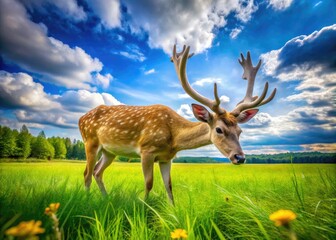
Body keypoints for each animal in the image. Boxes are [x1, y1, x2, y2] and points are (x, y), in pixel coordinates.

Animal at [79, 44, 276, 203]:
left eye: (240, 131)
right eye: (219, 129)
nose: (240, 157)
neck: (173, 138)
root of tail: (81, 118)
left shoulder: (166, 158)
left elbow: (169, 186)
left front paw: (172, 211)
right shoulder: (146, 150)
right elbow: (149, 183)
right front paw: (143, 206)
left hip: (109, 151)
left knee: (97, 172)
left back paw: (106, 199)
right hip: (90, 141)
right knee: (87, 173)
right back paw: (87, 200)